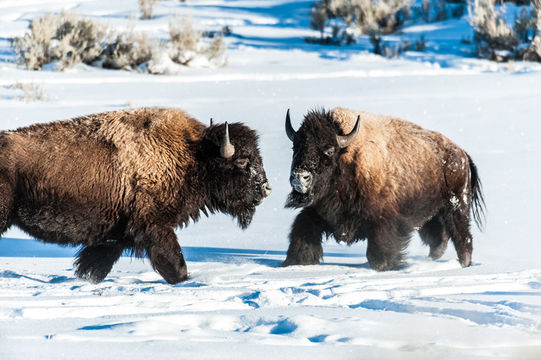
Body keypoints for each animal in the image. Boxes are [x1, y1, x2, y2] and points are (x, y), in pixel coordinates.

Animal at [0, 107, 270, 284]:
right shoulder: (154, 228)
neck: (192, 155)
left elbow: (95, 266)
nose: (266, 189)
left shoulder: (115, 236)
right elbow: (176, 263)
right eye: (242, 161)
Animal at [282, 108, 486, 272]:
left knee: (462, 237)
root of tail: (461, 154)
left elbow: (378, 253)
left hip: (456, 206)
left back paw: (464, 263)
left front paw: (388, 266)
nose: (300, 176)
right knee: (438, 238)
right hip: (432, 213)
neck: (347, 161)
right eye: (295, 147)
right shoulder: (317, 212)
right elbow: (302, 233)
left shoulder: (385, 221)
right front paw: (294, 262)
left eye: (330, 150)